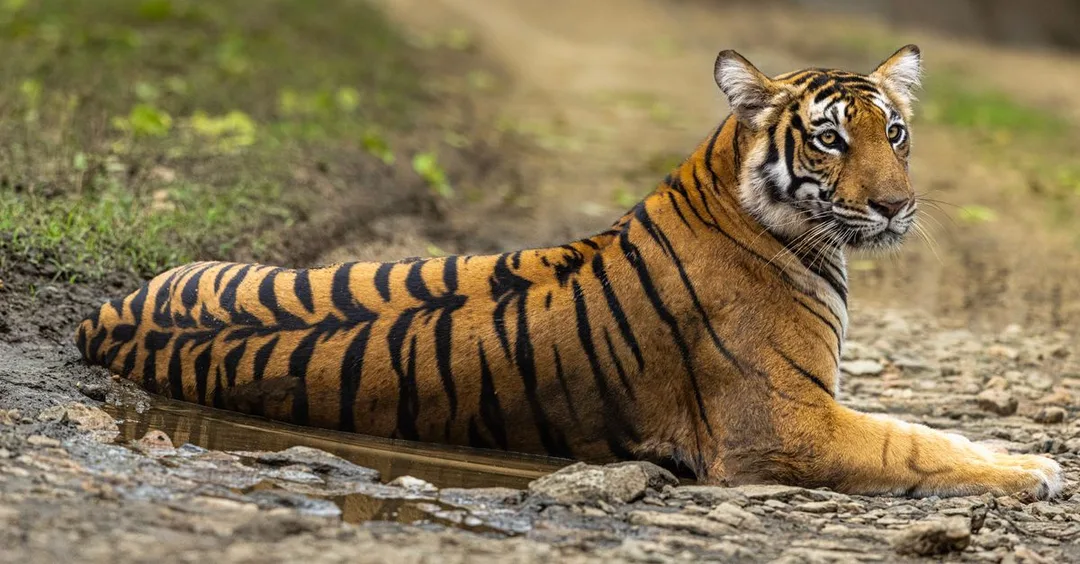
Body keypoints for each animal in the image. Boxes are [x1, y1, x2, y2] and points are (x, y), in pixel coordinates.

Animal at [76, 45, 1063, 499]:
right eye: (828, 139)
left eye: (893, 132)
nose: (897, 206)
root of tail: (102, 316)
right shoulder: (786, 427)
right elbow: (907, 445)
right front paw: (1035, 472)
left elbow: (922, 427)